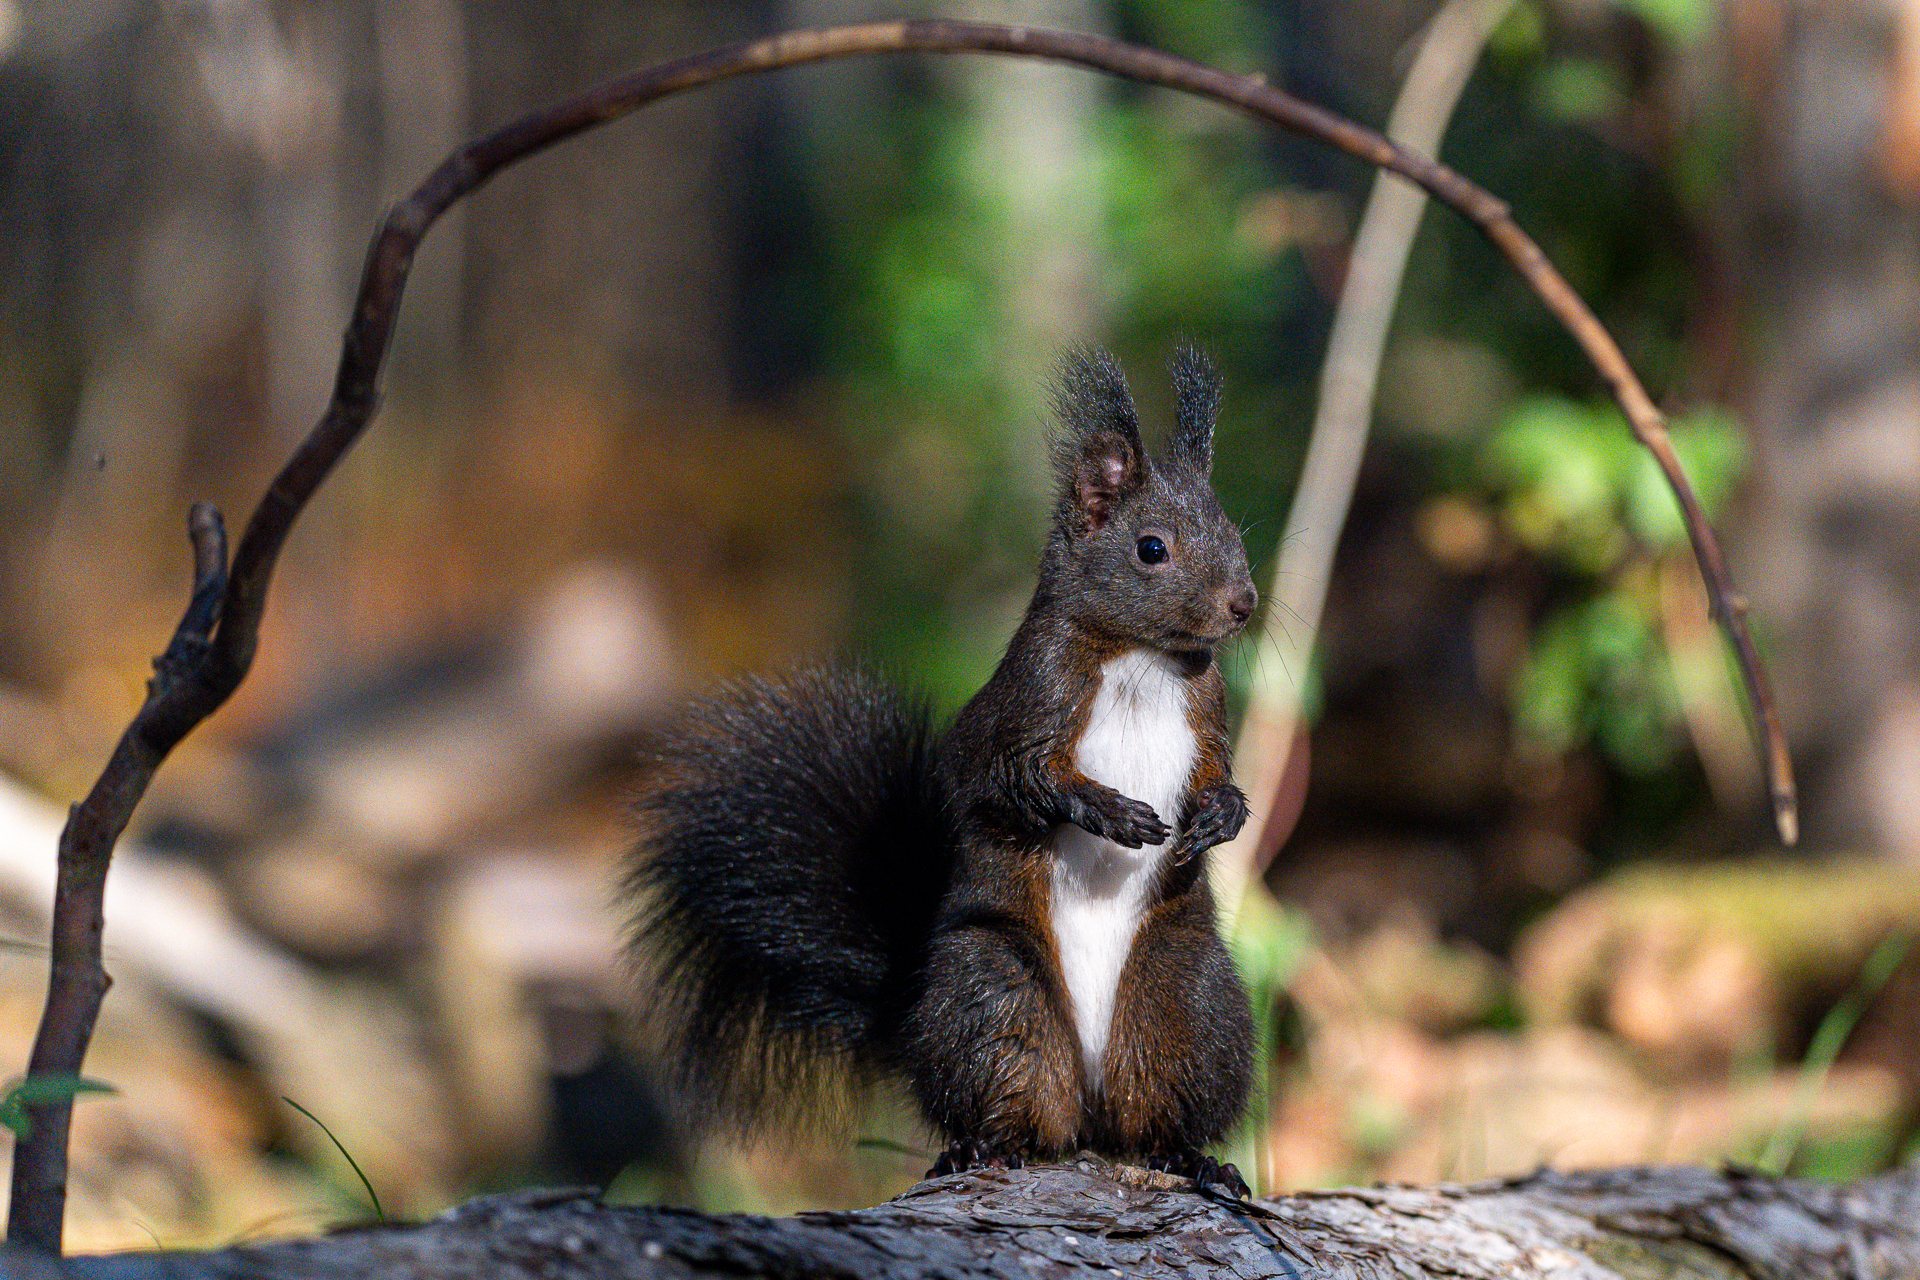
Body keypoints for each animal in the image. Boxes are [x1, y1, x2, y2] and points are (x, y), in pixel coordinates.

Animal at [627, 347, 1260, 1196]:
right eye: (1151, 548)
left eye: (1230, 528)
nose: (1244, 603)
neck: (1143, 658)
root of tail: (1087, 1105)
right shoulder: (1025, 700)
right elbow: (1013, 779)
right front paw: (1108, 812)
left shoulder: (1208, 709)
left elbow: (1217, 769)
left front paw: (1223, 813)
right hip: (992, 991)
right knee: (1005, 1090)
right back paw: (982, 1146)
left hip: (1184, 996)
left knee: (1158, 1098)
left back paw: (1189, 1156)